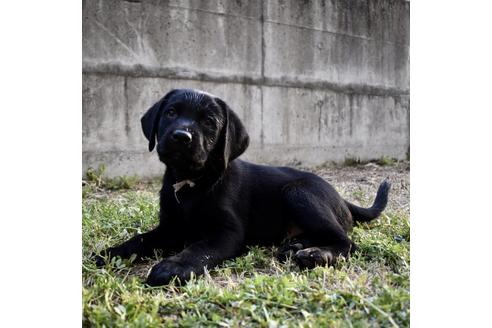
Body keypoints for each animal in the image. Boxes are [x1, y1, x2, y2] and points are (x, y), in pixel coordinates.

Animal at [94, 88, 390, 286]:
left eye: (209, 122)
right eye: (171, 112)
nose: (181, 136)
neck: (191, 184)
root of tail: (341, 198)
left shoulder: (227, 233)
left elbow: (198, 249)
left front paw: (173, 266)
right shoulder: (170, 228)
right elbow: (139, 239)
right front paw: (110, 253)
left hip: (298, 191)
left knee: (346, 241)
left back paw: (316, 254)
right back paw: (296, 246)